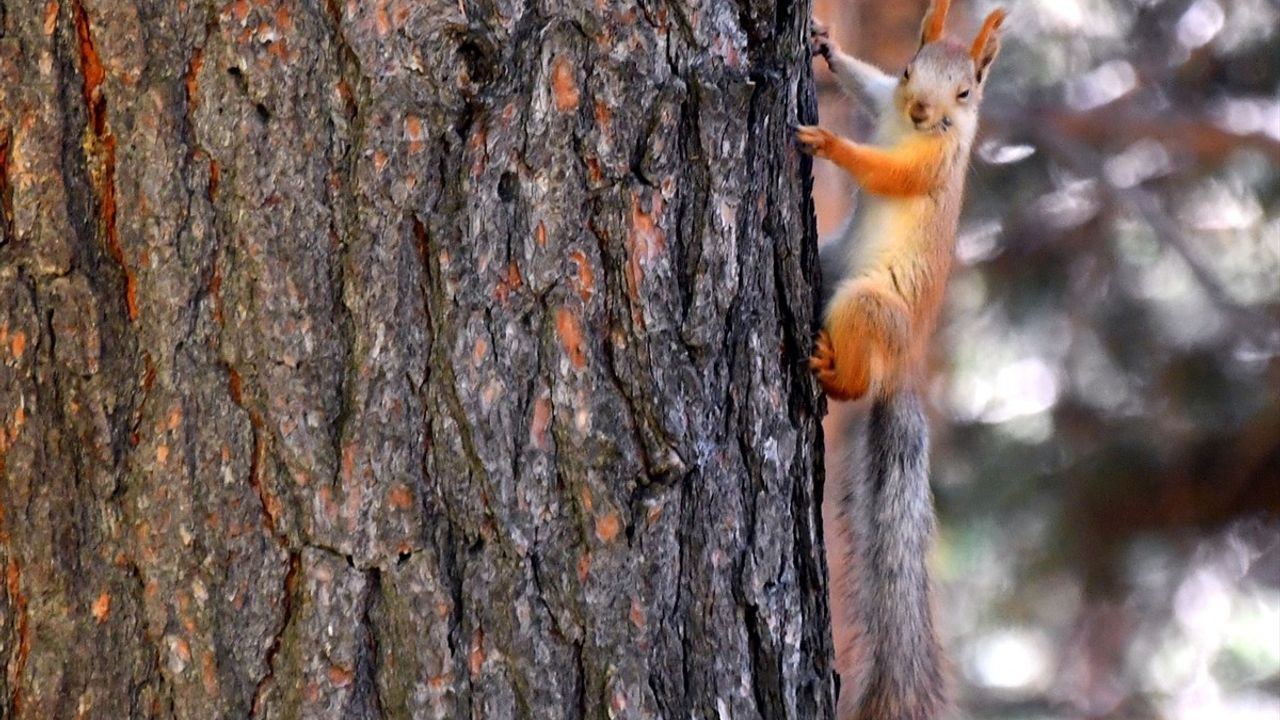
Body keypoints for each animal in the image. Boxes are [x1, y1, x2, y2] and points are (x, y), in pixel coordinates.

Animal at [793, 1, 1003, 717]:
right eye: (911, 68)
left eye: (966, 93)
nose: (919, 112)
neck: (906, 128)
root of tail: (907, 364)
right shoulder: (884, 97)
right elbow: (865, 84)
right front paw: (826, 47)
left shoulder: (931, 165)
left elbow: (886, 172)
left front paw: (831, 145)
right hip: (831, 266)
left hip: (866, 306)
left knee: (859, 383)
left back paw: (832, 371)